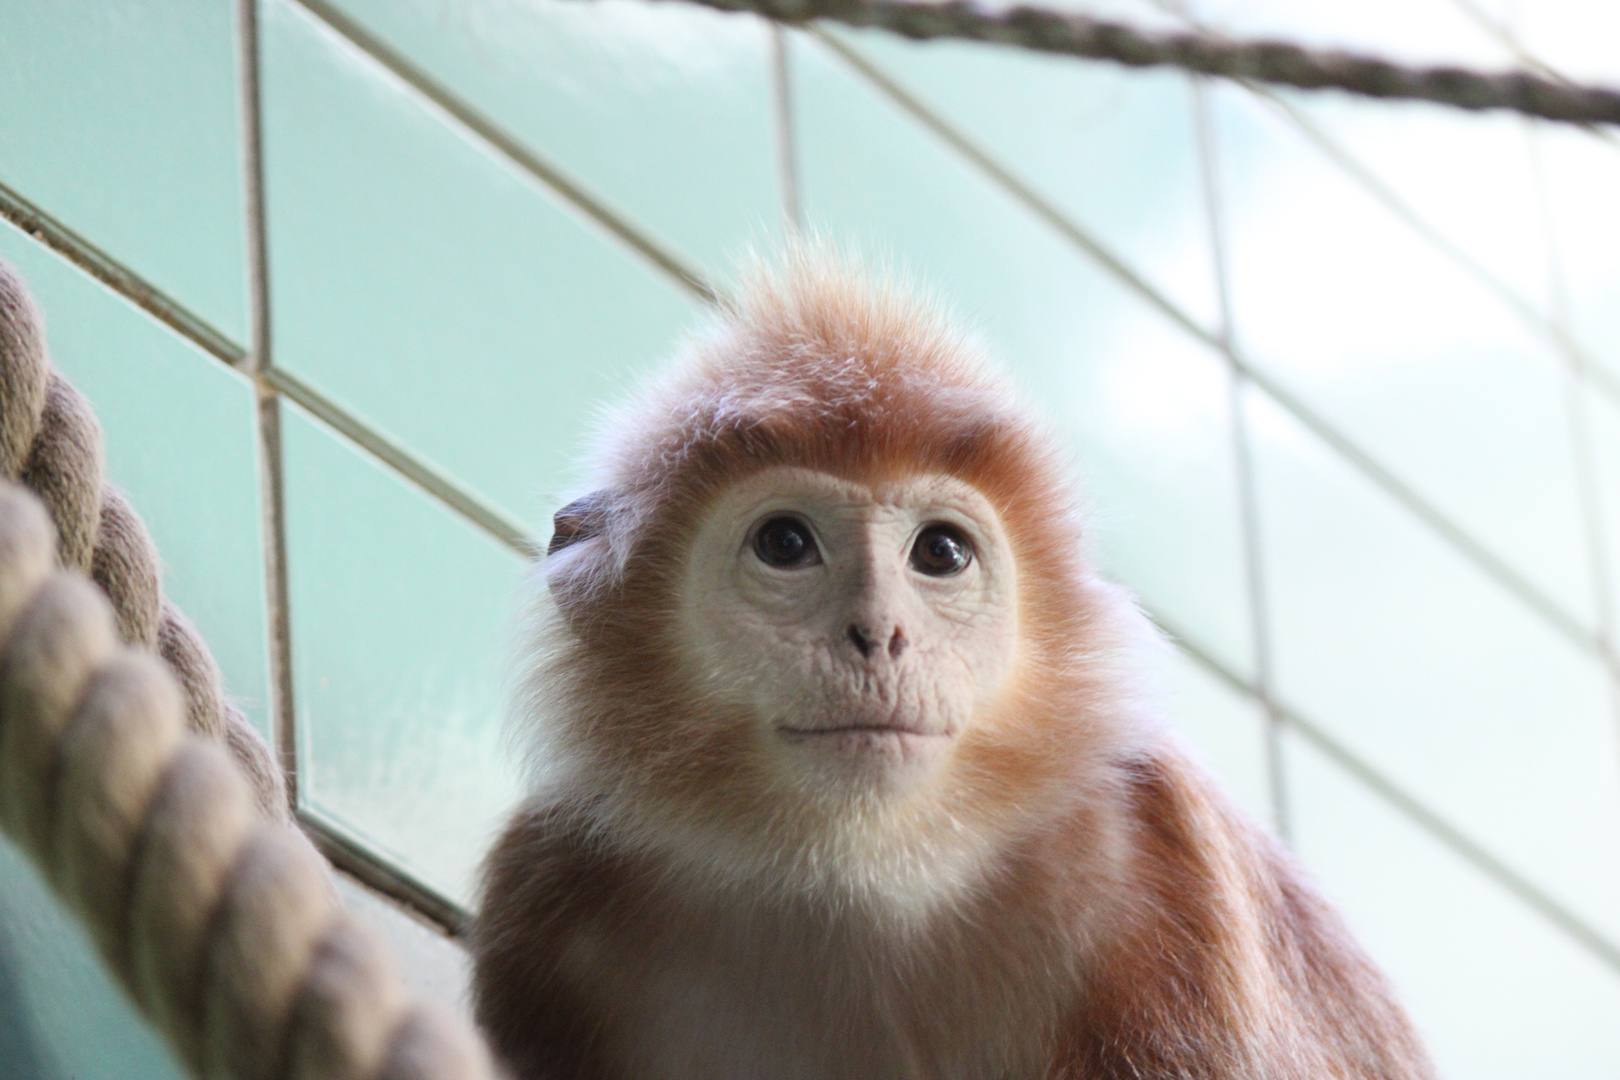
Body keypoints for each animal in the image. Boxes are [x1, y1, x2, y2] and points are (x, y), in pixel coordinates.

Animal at [473, 247, 1438, 1080]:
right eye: (785, 543)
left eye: (940, 553)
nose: (878, 634)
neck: (862, 874)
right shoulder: (547, 889)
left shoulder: (1172, 856)